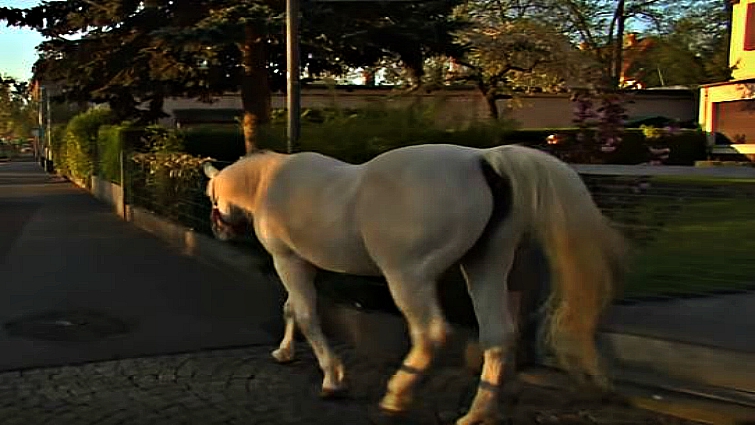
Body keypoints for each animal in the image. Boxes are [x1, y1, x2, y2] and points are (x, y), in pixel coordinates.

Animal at [202, 143, 626, 425]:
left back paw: (397, 395)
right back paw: (477, 414)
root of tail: (483, 160)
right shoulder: (303, 264)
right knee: (497, 336)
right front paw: (285, 352)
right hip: (486, 265)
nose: (218, 228)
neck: (270, 183)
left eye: (211, 195)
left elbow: (306, 314)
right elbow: (292, 308)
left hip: (409, 276)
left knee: (430, 333)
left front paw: (333, 378)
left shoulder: (288, 260)